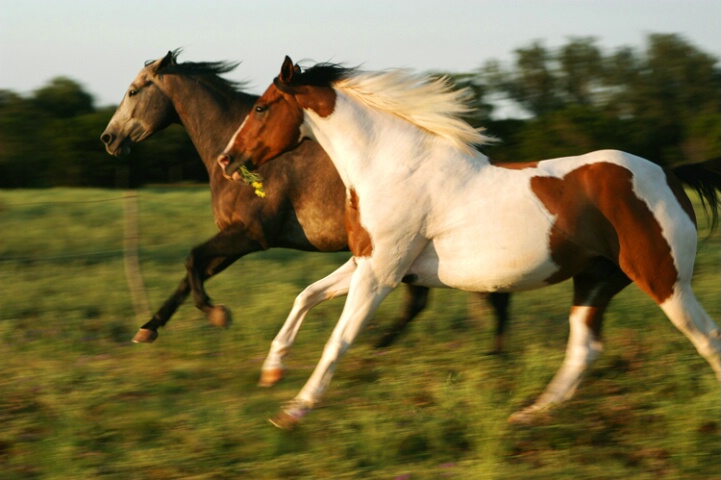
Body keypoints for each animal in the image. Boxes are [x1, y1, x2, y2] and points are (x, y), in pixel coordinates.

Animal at [98, 50, 510, 384]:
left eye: (134, 91)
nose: (109, 139)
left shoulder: (249, 236)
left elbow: (191, 260)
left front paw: (217, 315)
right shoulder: (235, 240)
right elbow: (191, 275)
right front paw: (148, 329)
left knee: (478, 297)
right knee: (438, 299)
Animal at [218, 56, 720, 428]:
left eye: (261, 107)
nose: (226, 159)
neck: (393, 167)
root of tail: (671, 175)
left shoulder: (381, 272)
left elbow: (340, 338)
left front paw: (295, 409)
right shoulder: (368, 261)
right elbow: (306, 295)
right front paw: (272, 370)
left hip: (664, 280)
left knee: (707, 336)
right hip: (596, 280)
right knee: (584, 350)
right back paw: (527, 416)